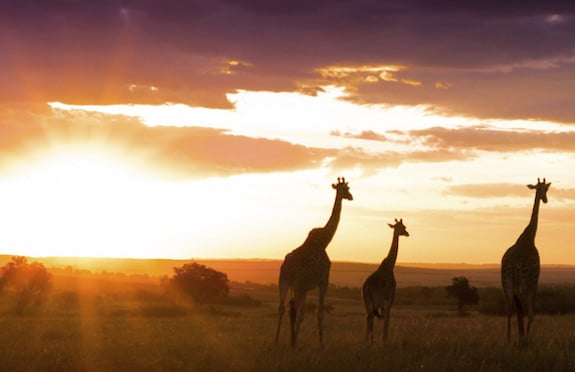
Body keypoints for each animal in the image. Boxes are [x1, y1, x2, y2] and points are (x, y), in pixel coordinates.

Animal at [276, 177, 354, 348]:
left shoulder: (308, 286)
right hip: (299, 286)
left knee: (283, 308)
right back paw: (292, 342)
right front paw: (321, 343)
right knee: (296, 312)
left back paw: (277, 340)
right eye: (345, 189)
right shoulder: (323, 281)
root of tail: (287, 268)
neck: (325, 241)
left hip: (284, 281)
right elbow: (319, 314)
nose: (351, 197)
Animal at [502, 179, 552, 344]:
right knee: (522, 309)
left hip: (506, 283)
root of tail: (513, 265)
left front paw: (521, 337)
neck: (530, 237)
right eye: (542, 189)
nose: (545, 199)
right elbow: (531, 313)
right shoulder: (535, 280)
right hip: (523, 283)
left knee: (510, 309)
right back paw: (522, 338)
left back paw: (509, 339)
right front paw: (526, 338)